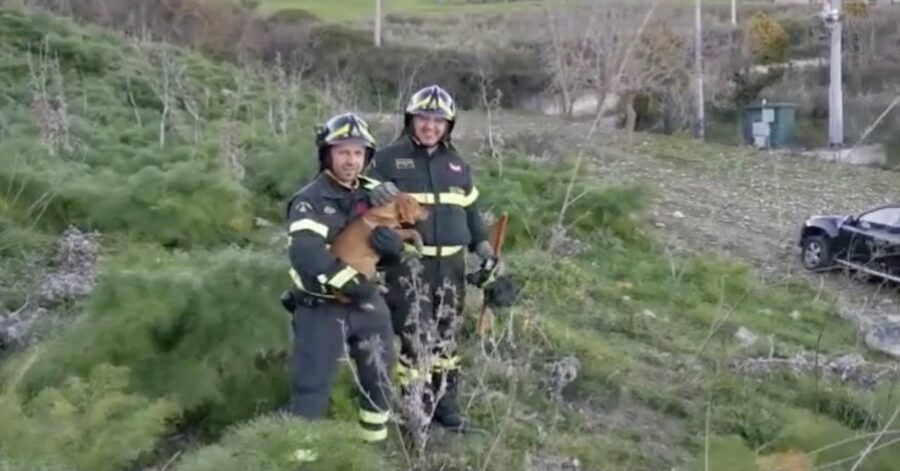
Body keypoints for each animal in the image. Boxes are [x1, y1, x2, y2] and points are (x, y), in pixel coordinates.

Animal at [366, 85, 520, 432]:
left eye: (438, 123)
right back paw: (418, 414)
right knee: (417, 347)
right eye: (424, 119)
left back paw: (444, 409)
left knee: (445, 345)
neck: (428, 153)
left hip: (450, 300)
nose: (430, 129)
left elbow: (471, 213)